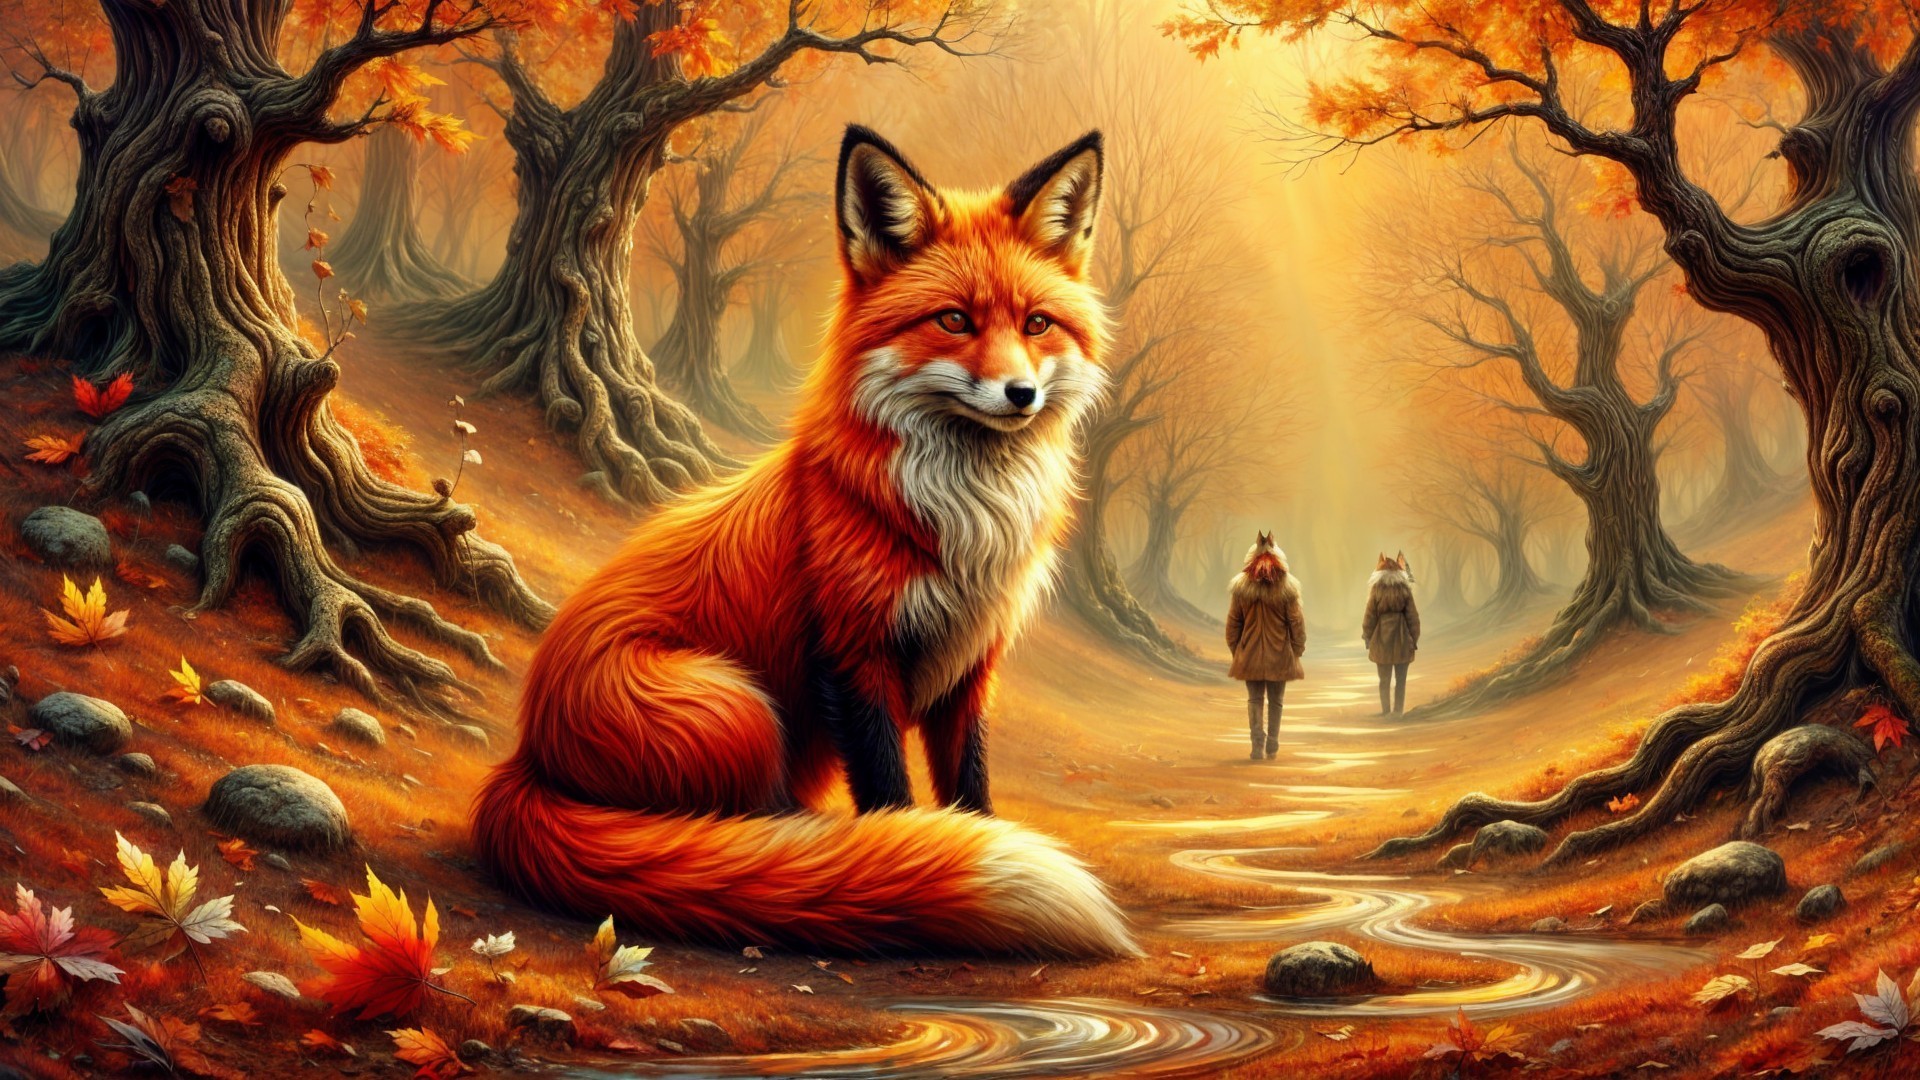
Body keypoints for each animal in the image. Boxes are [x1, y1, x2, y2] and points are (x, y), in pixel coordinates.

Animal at [470, 126, 1138, 958]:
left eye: (1037, 324)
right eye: (954, 321)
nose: (1022, 395)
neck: (963, 525)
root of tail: (526, 755)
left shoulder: (969, 666)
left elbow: (971, 786)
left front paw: (965, 840)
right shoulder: (855, 654)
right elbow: (891, 796)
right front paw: (906, 863)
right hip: (740, 707)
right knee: (716, 832)